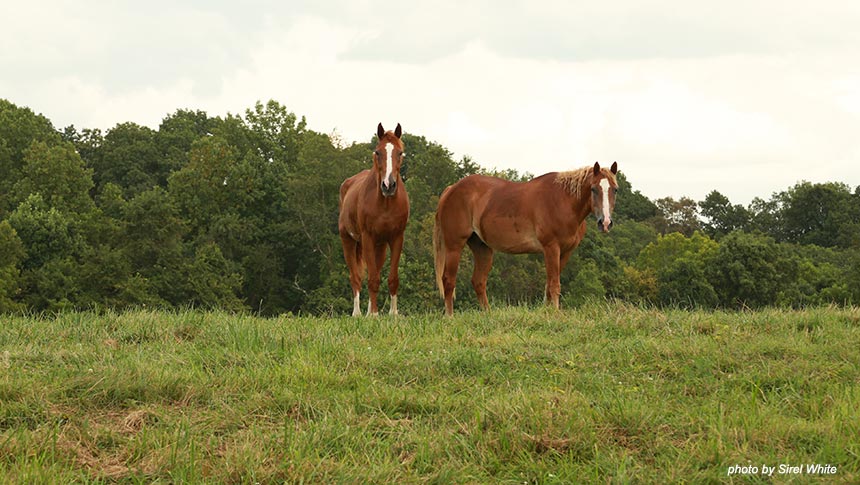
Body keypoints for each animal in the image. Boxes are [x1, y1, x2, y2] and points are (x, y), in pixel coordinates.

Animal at [338, 123, 408, 316]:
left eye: (400, 152)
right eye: (378, 152)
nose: (388, 185)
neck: (385, 204)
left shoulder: (396, 238)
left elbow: (392, 278)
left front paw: (393, 313)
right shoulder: (367, 237)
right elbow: (372, 279)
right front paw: (375, 315)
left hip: (380, 246)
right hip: (348, 241)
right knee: (356, 277)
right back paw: (358, 313)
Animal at [436, 161, 620, 316]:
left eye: (615, 189)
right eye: (593, 189)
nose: (605, 223)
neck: (563, 201)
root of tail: (451, 189)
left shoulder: (565, 252)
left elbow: (549, 284)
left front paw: (547, 311)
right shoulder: (551, 248)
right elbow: (554, 284)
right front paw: (555, 313)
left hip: (482, 248)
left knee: (478, 281)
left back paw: (488, 315)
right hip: (454, 246)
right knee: (448, 280)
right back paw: (450, 317)